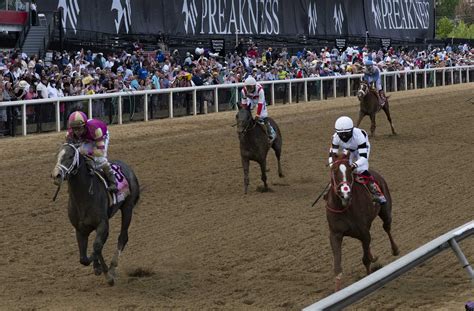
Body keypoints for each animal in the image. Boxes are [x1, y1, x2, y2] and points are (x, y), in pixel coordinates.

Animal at [52, 144, 141, 286]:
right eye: (57, 155)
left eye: (71, 156)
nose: (56, 175)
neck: (84, 197)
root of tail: (127, 167)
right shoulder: (80, 229)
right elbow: (84, 257)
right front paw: (99, 267)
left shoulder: (102, 224)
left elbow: (96, 247)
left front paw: (106, 273)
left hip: (128, 207)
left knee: (123, 237)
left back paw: (112, 267)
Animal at [324, 154, 398, 292]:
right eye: (334, 171)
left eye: (349, 170)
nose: (345, 193)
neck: (345, 207)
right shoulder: (335, 234)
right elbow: (337, 267)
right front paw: (337, 291)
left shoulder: (364, 232)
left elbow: (365, 260)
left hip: (385, 211)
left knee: (387, 227)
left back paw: (395, 249)